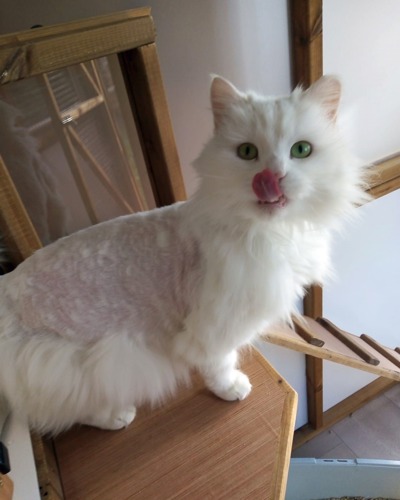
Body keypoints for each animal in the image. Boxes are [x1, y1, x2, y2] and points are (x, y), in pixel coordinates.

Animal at [0, 75, 368, 434]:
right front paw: (231, 388)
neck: (269, 234)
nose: (272, 177)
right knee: (57, 410)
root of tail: (6, 287)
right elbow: (220, 364)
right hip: (72, 364)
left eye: (301, 150)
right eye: (248, 152)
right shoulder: (214, 327)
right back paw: (115, 416)